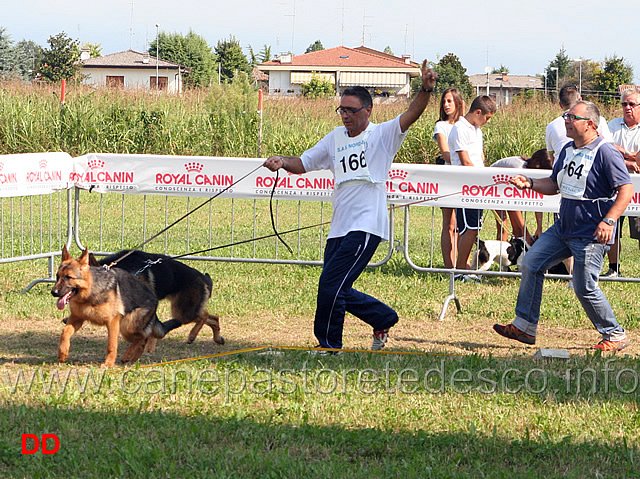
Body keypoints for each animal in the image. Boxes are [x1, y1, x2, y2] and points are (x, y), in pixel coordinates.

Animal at [51, 248, 181, 368]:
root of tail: (154, 299)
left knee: (142, 338)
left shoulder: (112, 322)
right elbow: (65, 332)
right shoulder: (76, 319)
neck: (89, 293)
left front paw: (108, 364)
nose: (53, 292)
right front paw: (62, 353)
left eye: (68, 277)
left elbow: (111, 345)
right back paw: (132, 359)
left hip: (127, 326)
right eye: (57, 276)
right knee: (142, 341)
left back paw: (128, 354)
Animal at [90, 251, 225, 344]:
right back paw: (217, 338)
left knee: (204, 316)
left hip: (183, 312)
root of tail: (204, 278)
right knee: (213, 317)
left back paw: (192, 335)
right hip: (184, 311)